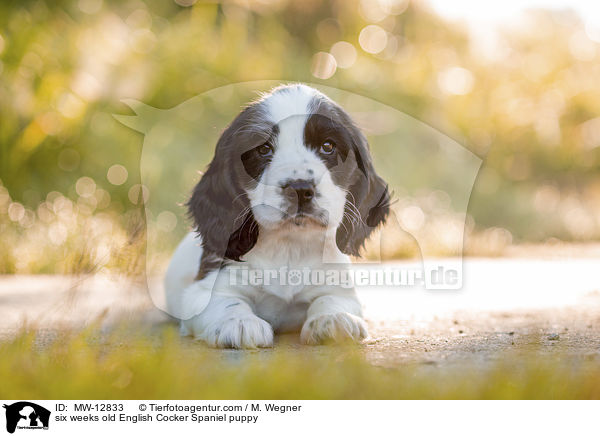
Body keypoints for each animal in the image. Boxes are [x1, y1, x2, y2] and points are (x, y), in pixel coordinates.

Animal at [164, 84, 390, 348]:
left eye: (328, 146)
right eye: (263, 149)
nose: (300, 188)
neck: (289, 245)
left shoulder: (338, 284)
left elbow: (331, 298)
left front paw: (334, 319)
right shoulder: (204, 289)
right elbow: (225, 301)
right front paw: (239, 323)